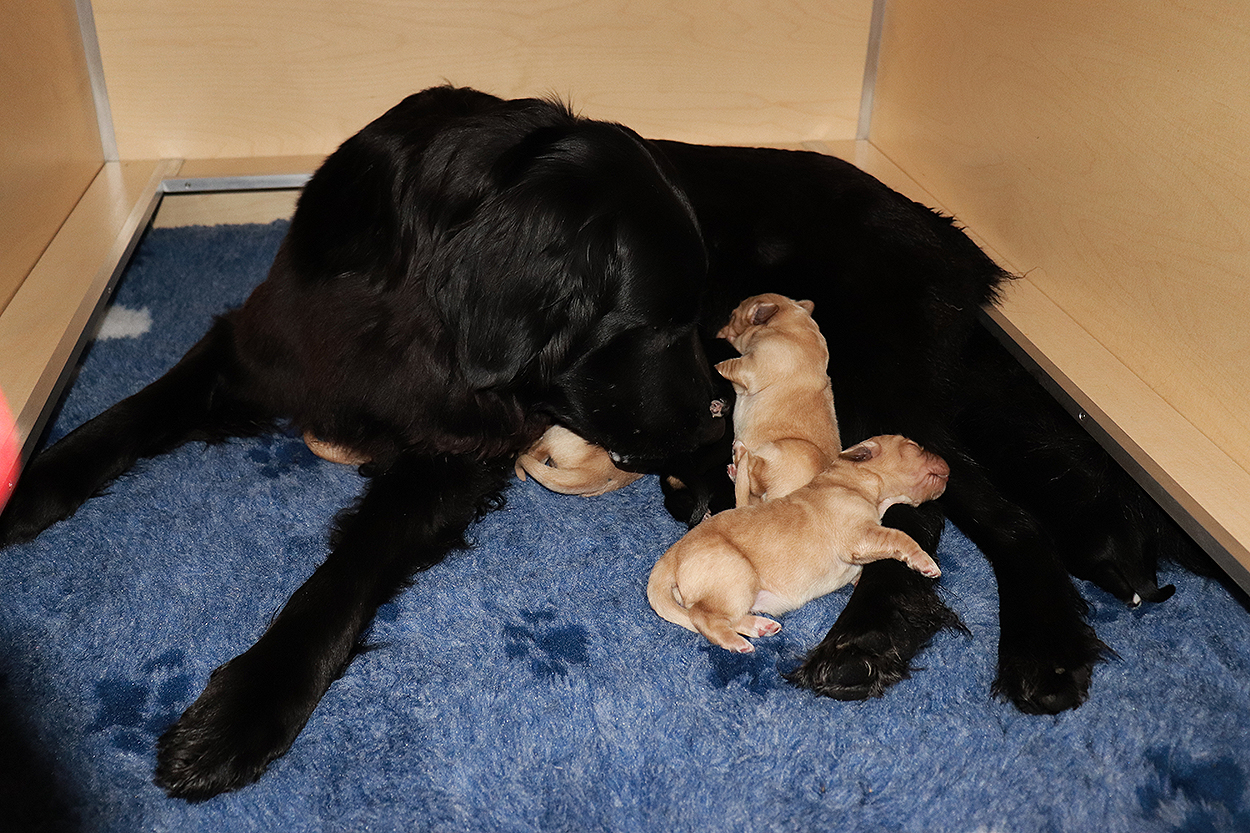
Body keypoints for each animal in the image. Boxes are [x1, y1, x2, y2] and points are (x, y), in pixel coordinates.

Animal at [649, 435, 948, 653]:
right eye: (913, 447)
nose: (947, 462)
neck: (852, 482)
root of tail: (672, 555)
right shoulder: (858, 535)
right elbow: (899, 536)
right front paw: (924, 562)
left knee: (720, 616)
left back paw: (758, 626)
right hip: (736, 574)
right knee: (703, 617)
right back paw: (736, 642)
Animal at [713, 293, 839, 506]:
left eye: (732, 316)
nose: (718, 332)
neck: (786, 324)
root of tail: (773, 498)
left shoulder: (749, 367)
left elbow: (725, 365)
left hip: (790, 451)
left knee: (751, 468)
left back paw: (739, 451)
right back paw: (735, 469)